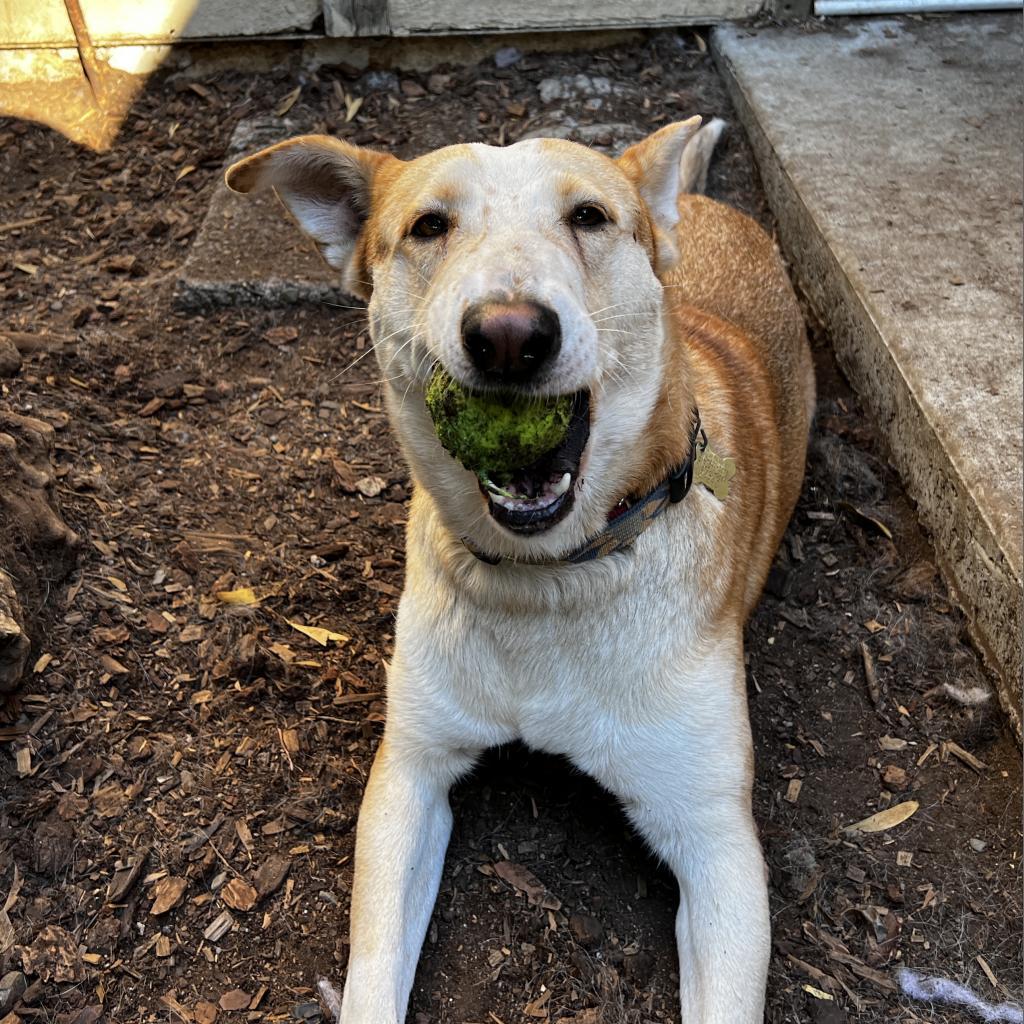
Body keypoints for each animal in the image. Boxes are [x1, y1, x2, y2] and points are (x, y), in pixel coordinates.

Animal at [226, 114, 815, 1024]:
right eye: (429, 226)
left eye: (588, 217)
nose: (509, 335)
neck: (549, 579)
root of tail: (696, 201)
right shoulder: (410, 772)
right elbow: (371, 974)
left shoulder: (716, 838)